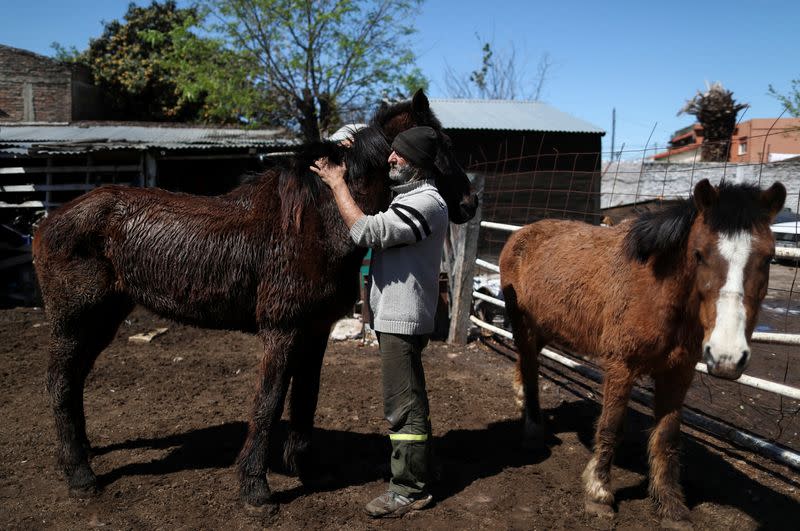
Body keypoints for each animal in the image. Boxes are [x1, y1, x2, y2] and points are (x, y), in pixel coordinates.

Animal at [34, 90, 478, 512]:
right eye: (443, 144)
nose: (470, 204)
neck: (319, 223)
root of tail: (49, 222)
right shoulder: (282, 331)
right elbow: (269, 401)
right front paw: (255, 488)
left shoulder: (316, 330)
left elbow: (306, 397)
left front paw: (303, 467)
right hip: (75, 319)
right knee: (59, 382)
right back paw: (80, 475)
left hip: (104, 319)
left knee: (74, 380)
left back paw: (82, 453)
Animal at [504, 180, 784, 528]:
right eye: (699, 254)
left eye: (770, 257)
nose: (727, 356)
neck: (655, 290)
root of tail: (521, 234)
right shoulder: (621, 366)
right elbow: (611, 426)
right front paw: (599, 493)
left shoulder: (679, 373)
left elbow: (667, 437)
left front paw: (671, 506)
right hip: (524, 326)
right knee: (530, 371)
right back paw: (531, 431)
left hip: (543, 328)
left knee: (525, 364)